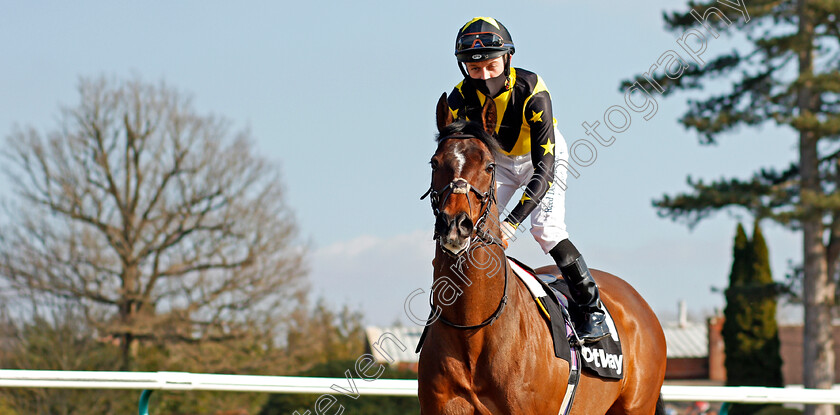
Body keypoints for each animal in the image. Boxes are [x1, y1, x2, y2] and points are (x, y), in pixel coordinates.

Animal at [416, 94, 668, 415]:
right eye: (435, 163)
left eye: (488, 166)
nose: (455, 225)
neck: (473, 328)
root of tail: (640, 303)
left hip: (638, 406)